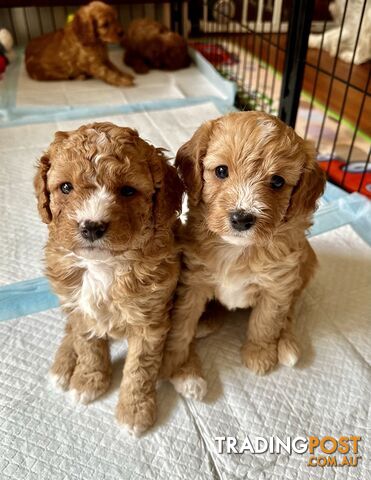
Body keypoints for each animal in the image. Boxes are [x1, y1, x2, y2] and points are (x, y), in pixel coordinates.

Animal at [35, 121, 184, 436]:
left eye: (128, 190)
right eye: (65, 187)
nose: (91, 226)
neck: (103, 264)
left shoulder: (150, 320)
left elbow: (140, 367)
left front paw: (135, 410)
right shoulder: (80, 306)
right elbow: (87, 345)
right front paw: (88, 380)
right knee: (69, 329)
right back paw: (63, 365)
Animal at [161, 110, 326, 400]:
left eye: (277, 181)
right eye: (221, 171)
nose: (241, 218)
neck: (237, 249)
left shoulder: (277, 285)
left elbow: (267, 320)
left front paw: (259, 354)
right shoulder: (193, 282)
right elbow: (181, 324)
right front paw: (175, 360)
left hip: (305, 268)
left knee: (289, 311)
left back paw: (287, 346)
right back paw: (207, 321)